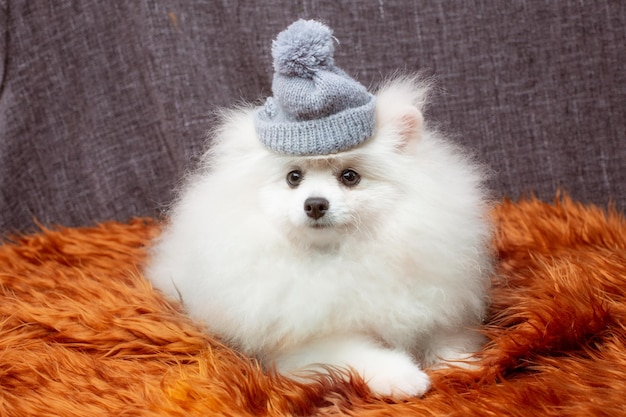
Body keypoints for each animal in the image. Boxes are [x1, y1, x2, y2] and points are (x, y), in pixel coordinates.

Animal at [145, 20, 488, 400]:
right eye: (294, 177)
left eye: (350, 176)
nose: (315, 204)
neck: (339, 257)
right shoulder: (302, 343)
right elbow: (355, 352)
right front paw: (403, 377)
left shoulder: (434, 303)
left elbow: (447, 336)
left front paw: (462, 365)